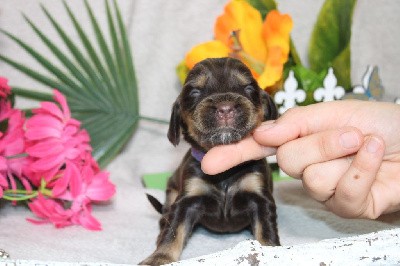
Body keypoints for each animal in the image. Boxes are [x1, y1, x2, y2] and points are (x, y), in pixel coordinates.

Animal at [141, 57, 278, 264]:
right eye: (195, 92)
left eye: (248, 88)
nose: (225, 109)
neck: (225, 170)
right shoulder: (186, 200)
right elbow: (173, 232)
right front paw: (158, 258)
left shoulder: (260, 198)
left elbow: (267, 233)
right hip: (171, 189)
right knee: (165, 216)